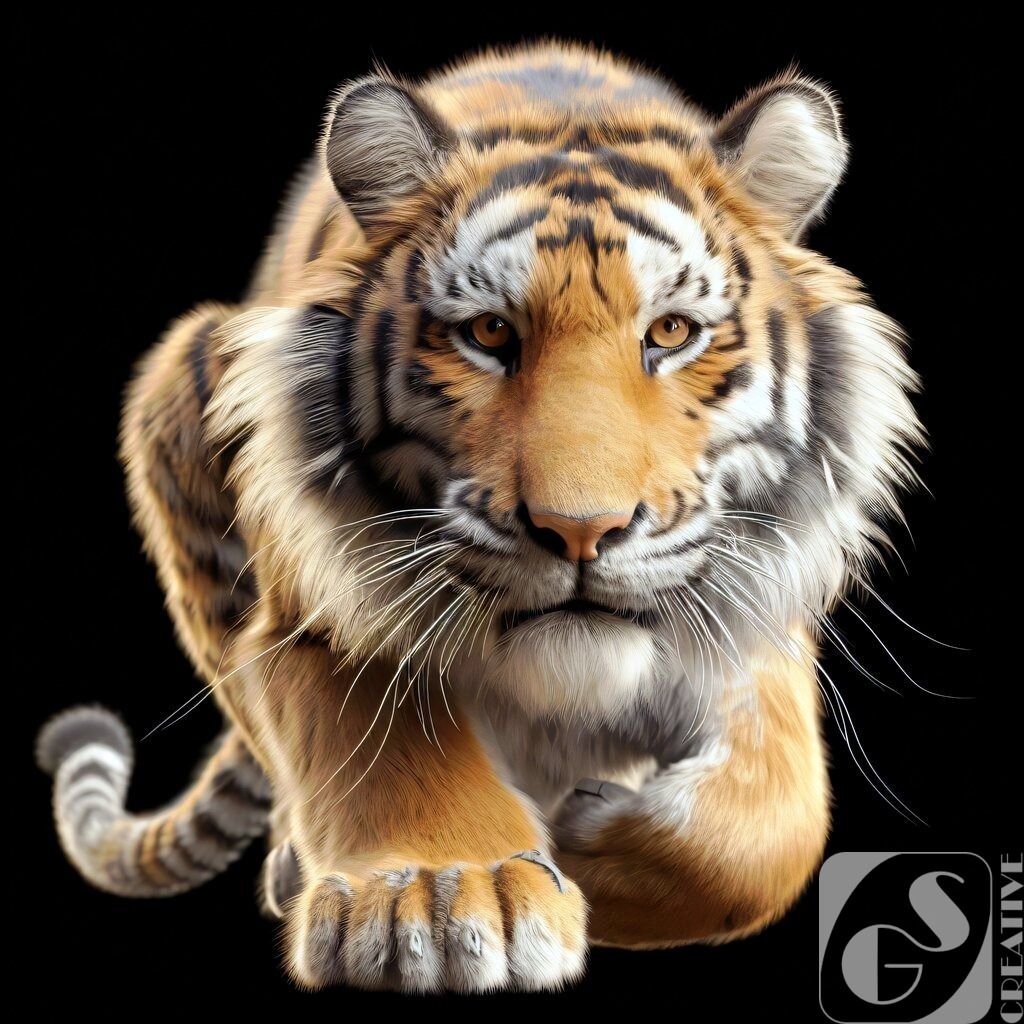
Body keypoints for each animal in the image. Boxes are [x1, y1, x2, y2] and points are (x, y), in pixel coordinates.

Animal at [36, 42, 922, 993]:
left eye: (671, 332)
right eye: (491, 334)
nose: (581, 529)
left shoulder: (754, 615)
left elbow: (763, 837)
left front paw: (578, 835)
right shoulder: (315, 602)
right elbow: (384, 731)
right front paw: (441, 896)